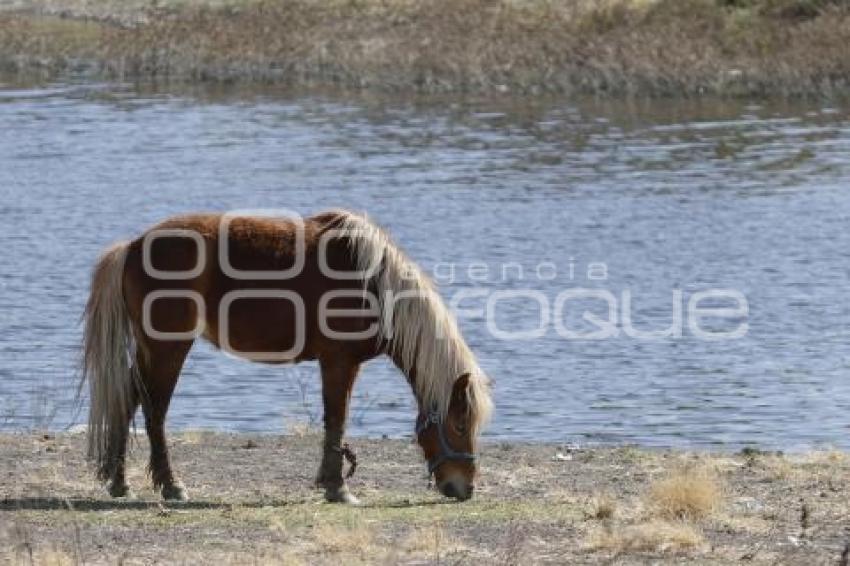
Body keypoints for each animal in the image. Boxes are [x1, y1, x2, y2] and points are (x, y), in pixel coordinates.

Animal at [81, 212, 490, 506]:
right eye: (459, 424)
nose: (464, 488)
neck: (372, 283)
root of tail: (133, 246)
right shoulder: (339, 362)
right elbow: (336, 420)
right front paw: (338, 488)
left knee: (127, 401)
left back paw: (120, 482)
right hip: (168, 349)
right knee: (154, 412)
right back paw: (170, 485)